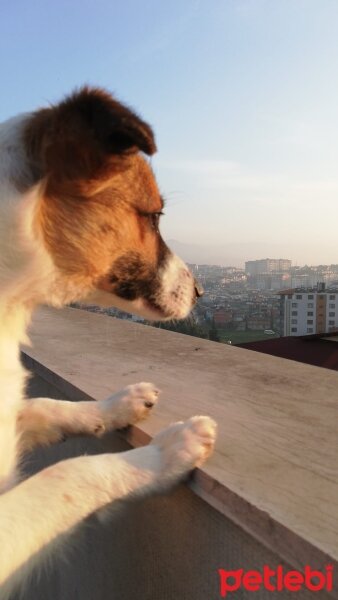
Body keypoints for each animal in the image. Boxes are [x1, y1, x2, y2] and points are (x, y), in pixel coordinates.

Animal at [0, 86, 217, 596]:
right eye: (154, 216)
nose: (202, 292)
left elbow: (45, 406)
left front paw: (116, 405)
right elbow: (70, 472)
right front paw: (163, 453)